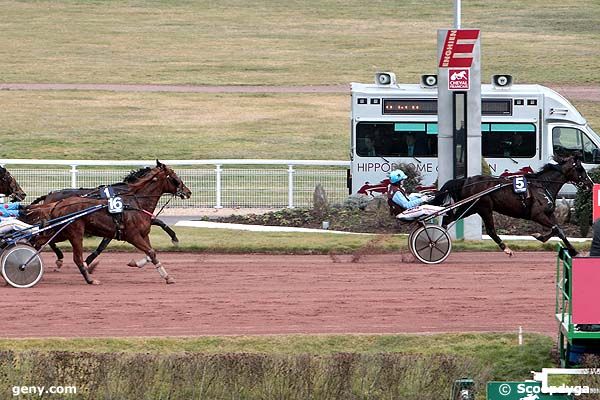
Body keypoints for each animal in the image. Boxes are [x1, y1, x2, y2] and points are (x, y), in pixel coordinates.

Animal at [23, 161, 191, 286]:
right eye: (174, 177)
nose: (188, 192)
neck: (134, 201)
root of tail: (56, 202)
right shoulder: (132, 235)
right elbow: (150, 251)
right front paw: (167, 275)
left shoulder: (143, 234)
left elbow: (151, 252)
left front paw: (137, 264)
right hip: (75, 233)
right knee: (74, 257)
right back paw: (88, 279)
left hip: (62, 231)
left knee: (40, 240)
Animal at [436, 155, 596, 258]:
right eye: (580, 169)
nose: (591, 184)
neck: (542, 185)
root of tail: (466, 180)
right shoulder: (537, 215)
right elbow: (557, 229)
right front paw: (540, 236)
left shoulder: (549, 213)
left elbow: (559, 230)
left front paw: (572, 250)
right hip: (483, 207)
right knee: (490, 230)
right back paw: (507, 249)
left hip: (471, 208)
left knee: (448, 218)